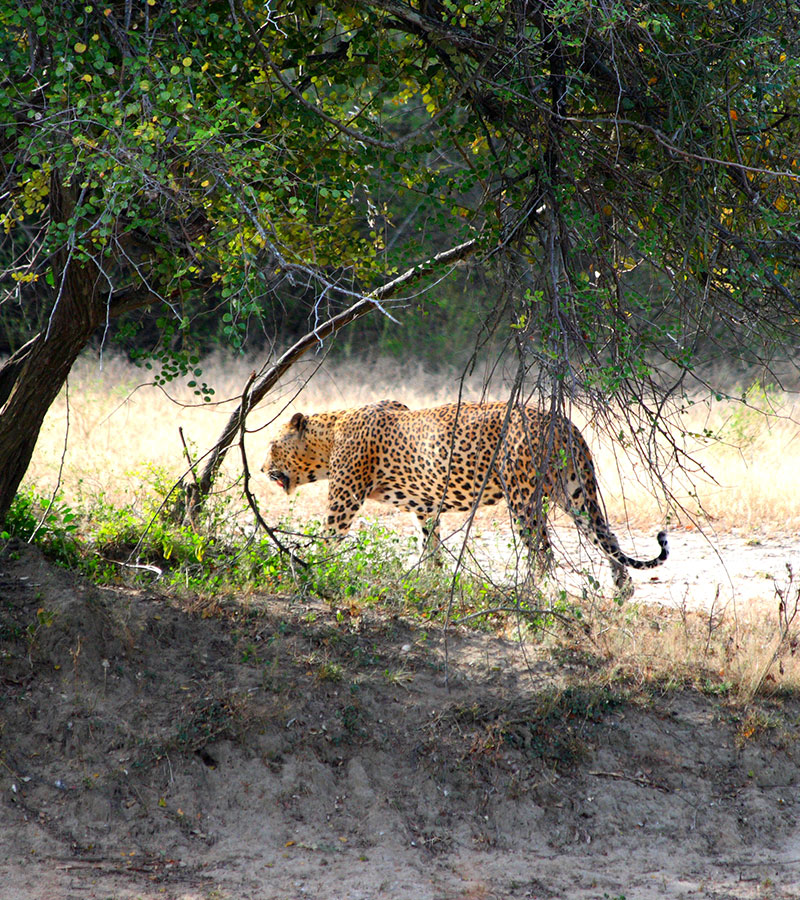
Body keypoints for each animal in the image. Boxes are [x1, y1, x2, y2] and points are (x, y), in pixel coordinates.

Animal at [263, 399, 668, 594]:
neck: (329, 434)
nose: (263, 467)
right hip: (574, 492)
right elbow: (431, 547)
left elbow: (328, 539)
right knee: (607, 537)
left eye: (271, 445)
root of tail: (563, 422)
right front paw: (431, 581)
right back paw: (622, 592)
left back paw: (525, 593)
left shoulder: (344, 498)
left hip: (523, 496)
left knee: (543, 553)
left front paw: (309, 573)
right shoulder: (425, 506)